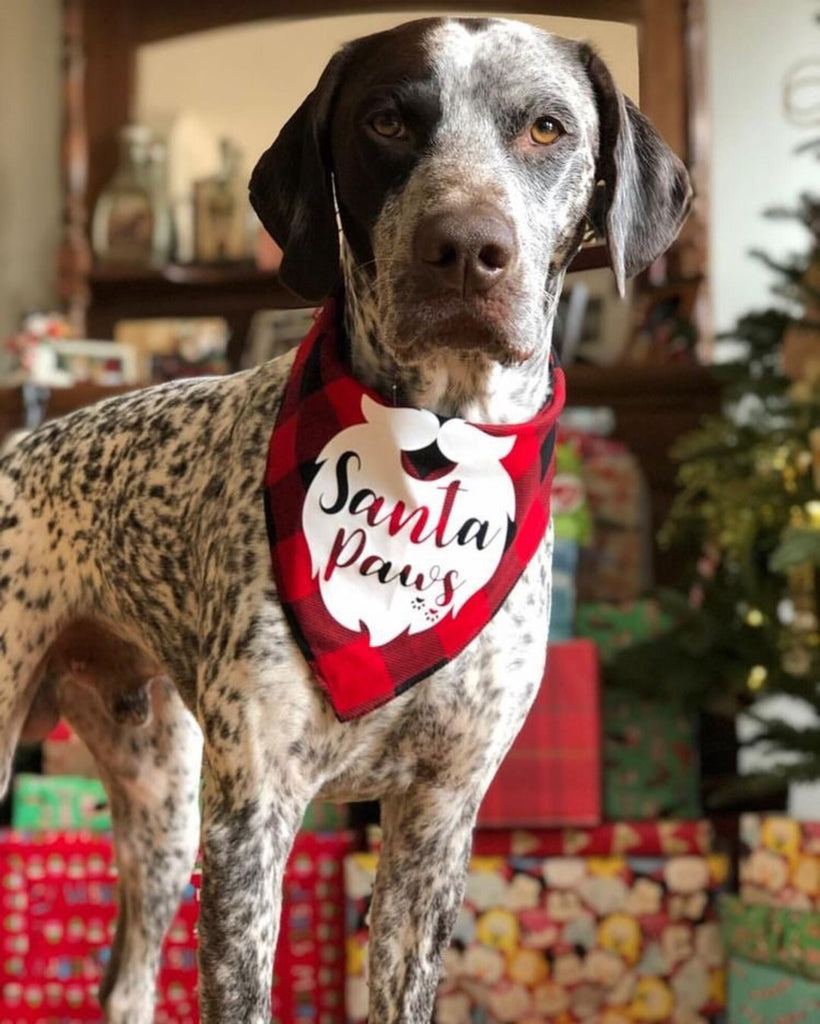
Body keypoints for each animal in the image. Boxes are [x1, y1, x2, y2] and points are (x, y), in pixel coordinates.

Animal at [0, 18, 692, 1024]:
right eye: (388, 121)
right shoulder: (252, 821)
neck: (428, 450)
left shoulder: (436, 824)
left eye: (547, 128)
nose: (466, 248)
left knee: (125, 986)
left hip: (160, 809)